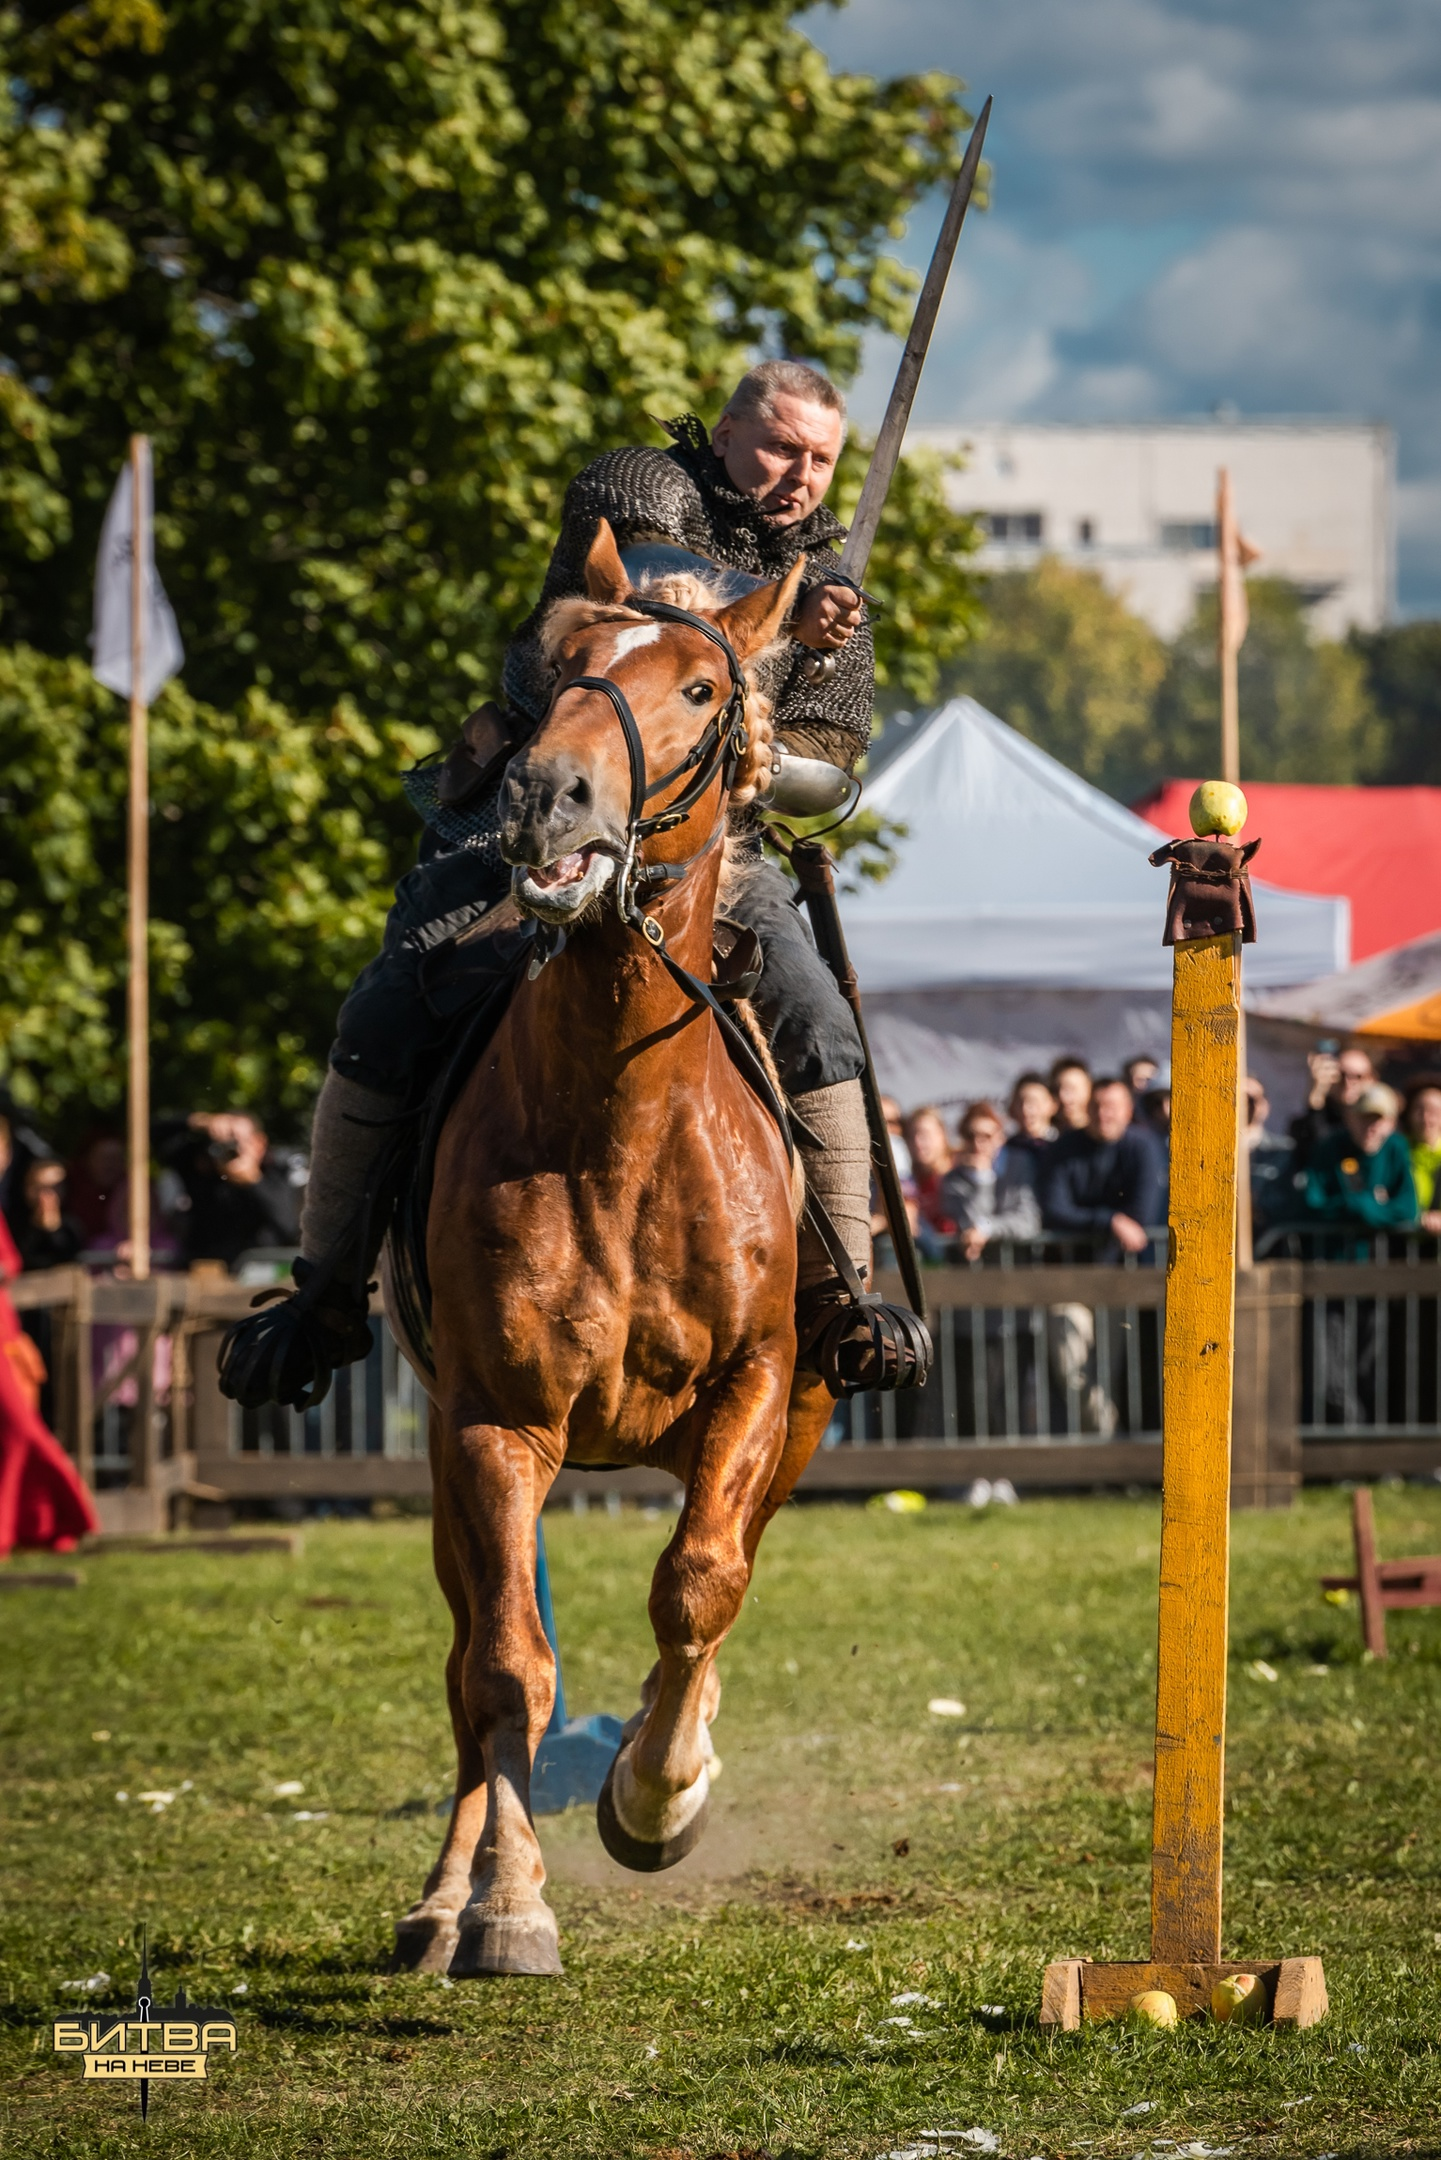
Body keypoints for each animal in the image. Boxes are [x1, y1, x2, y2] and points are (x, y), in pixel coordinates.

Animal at [395, 518, 838, 1978]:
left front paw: (658, 1793)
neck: (619, 1122)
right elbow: (507, 1670)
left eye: (701, 690)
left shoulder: (763, 1389)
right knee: (471, 1660)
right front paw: (506, 1904)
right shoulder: (493, 1423)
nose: (548, 797)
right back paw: (444, 1899)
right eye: (563, 668)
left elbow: (700, 1586)